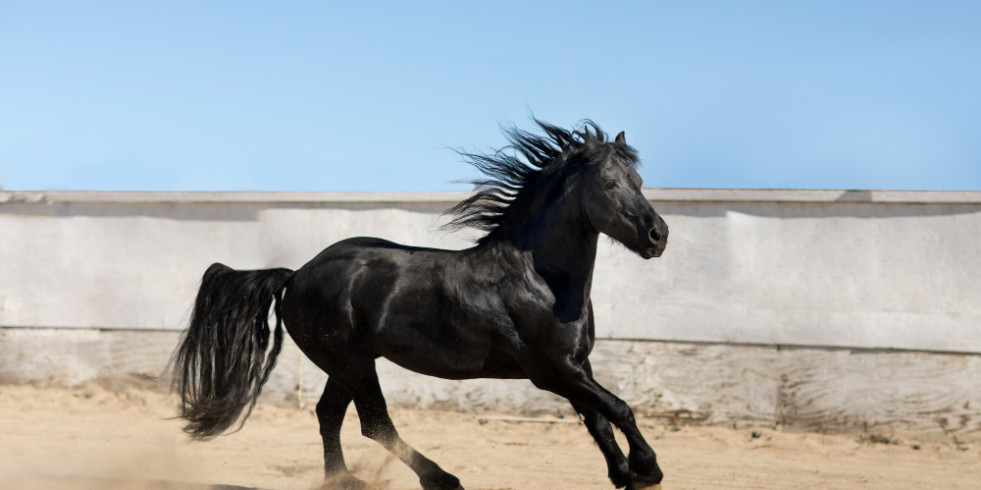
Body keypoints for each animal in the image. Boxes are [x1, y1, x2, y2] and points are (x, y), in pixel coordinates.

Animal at [172, 119, 668, 490]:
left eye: (640, 181)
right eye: (610, 183)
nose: (658, 235)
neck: (540, 280)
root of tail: (295, 276)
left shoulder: (576, 366)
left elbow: (598, 418)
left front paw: (623, 474)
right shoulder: (551, 370)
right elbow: (618, 407)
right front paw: (647, 469)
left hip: (346, 362)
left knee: (329, 415)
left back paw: (345, 480)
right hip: (350, 361)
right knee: (375, 423)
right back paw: (442, 479)